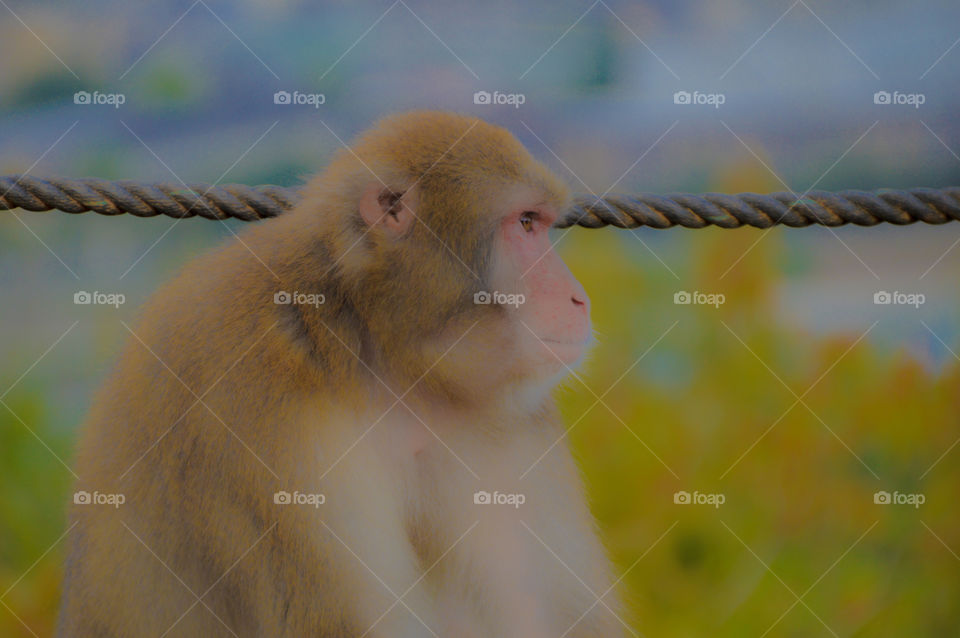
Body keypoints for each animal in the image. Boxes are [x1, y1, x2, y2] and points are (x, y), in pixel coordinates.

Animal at [57, 111, 624, 637]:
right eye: (526, 223)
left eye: (541, 223)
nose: (579, 298)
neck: (382, 351)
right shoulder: (258, 407)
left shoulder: (515, 419)